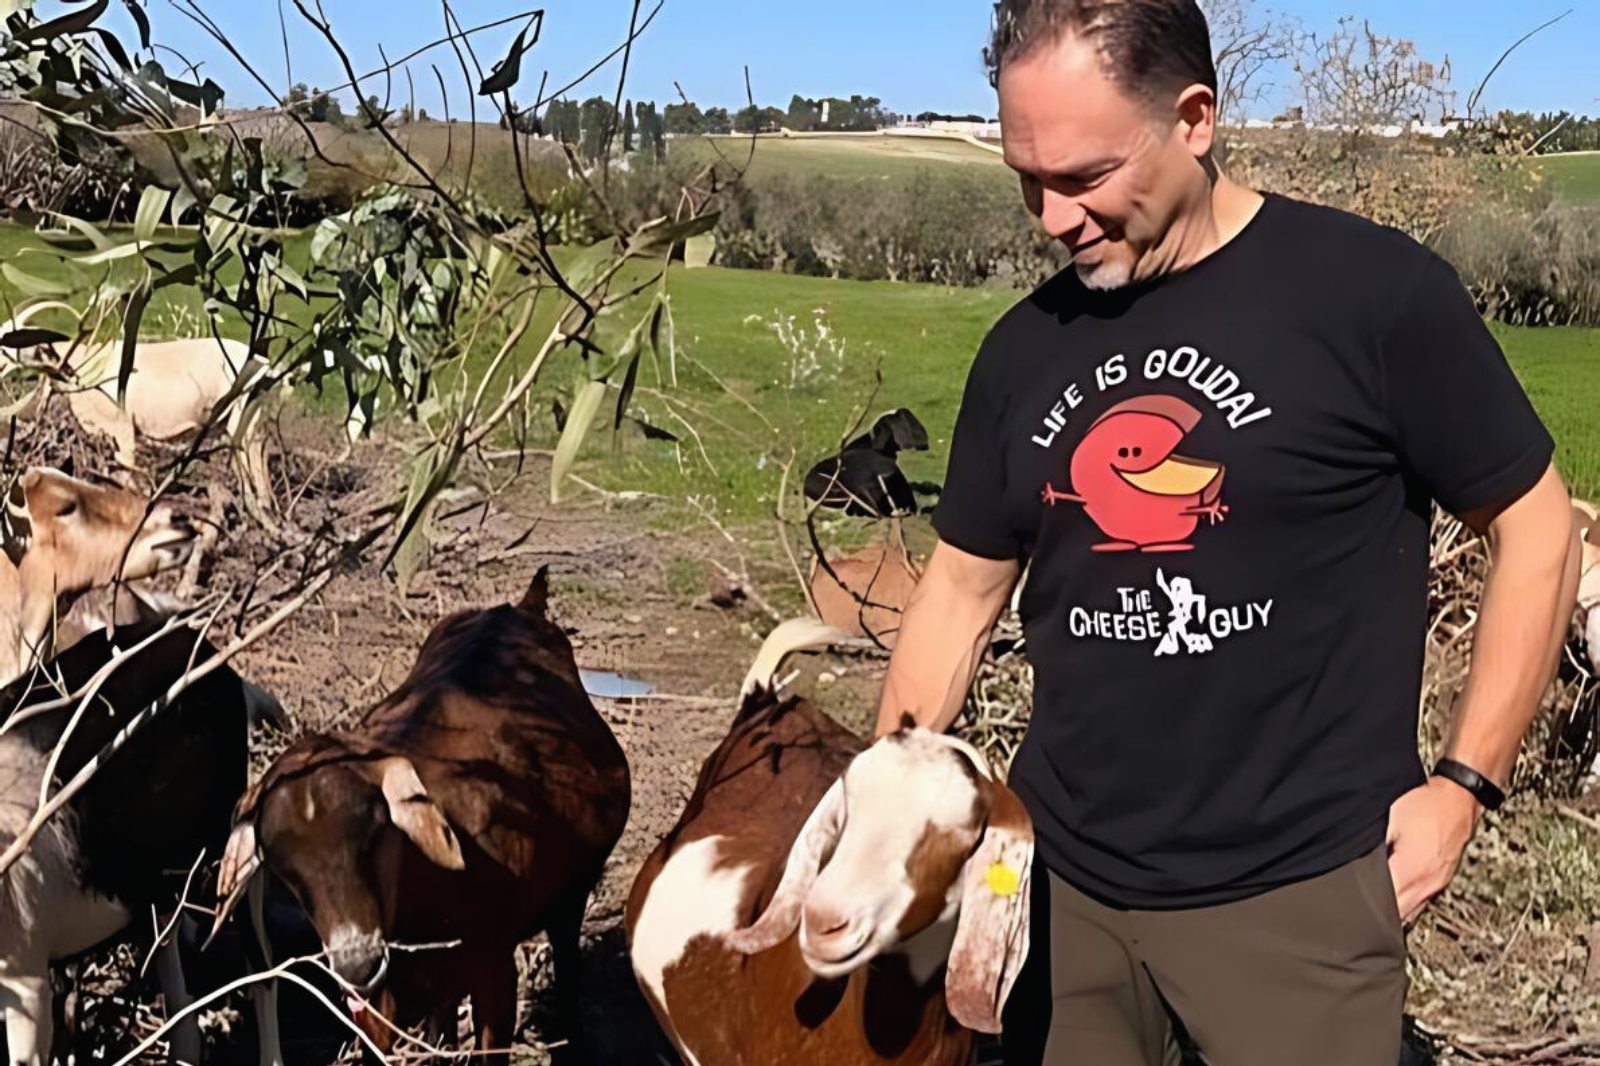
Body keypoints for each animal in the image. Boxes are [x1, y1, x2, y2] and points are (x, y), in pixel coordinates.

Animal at [211, 563, 630, 1056]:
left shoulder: (495, 965)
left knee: (566, 958)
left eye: (375, 832)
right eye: (281, 868)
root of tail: (519, 608)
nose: (358, 962)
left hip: (573, 892)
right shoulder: (376, 999)